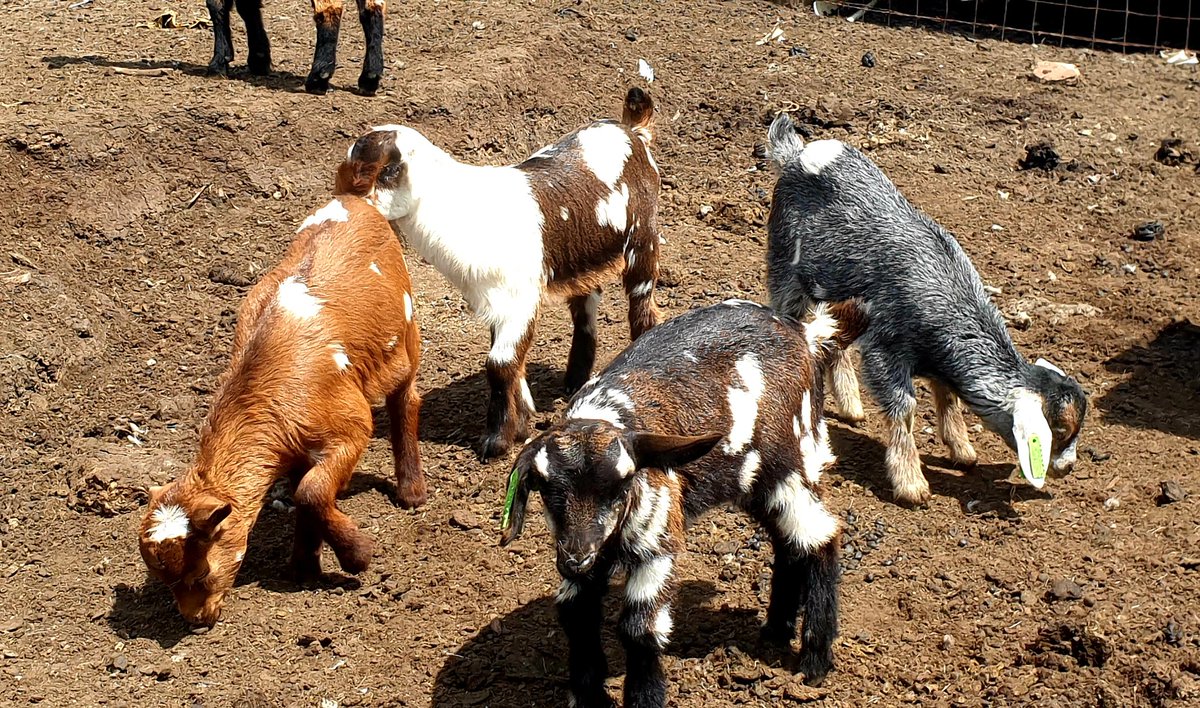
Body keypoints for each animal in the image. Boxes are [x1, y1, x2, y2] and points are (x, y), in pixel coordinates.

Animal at [138, 194, 423, 625]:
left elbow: (311, 492)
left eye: (201, 572)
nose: (195, 619)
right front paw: (303, 566)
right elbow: (307, 494)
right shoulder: (294, 449)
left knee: (406, 398)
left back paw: (411, 492)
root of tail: (352, 196)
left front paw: (357, 556)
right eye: (164, 580)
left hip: (405, 331)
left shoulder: (351, 427)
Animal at [205, 0, 387, 95]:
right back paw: (370, 77)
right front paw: (259, 58)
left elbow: (216, 4)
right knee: (373, 7)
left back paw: (318, 77)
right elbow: (246, 6)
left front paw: (218, 63)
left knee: (330, 8)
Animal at [337, 88, 663, 460]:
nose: (353, 205)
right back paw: (574, 380)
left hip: (643, 237)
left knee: (641, 306)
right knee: (585, 307)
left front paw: (496, 441)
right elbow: (511, 361)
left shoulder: (518, 298)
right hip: (582, 258)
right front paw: (521, 422)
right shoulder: (495, 300)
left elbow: (500, 363)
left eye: (389, 169)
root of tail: (630, 128)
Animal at [500, 298, 868, 707]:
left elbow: (639, 628)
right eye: (547, 488)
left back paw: (814, 661)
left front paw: (645, 698)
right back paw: (775, 630)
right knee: (789, 543)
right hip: (754, 481)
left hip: (789, 464)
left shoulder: (657, 539)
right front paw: (588, 696)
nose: (576, 559)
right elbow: (575, 611)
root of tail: (807, 333)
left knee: (820, 538)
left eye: (622, 484)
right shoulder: (588, 552)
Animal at [764, 112, 1087, 507]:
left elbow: (947, 397)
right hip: (785, 269)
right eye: (1058, 429)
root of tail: (796, 153)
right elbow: (904, 408)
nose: (1067, 468)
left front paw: (962, 451)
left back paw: (852, 406)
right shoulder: (885, 350)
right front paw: (912, 484)